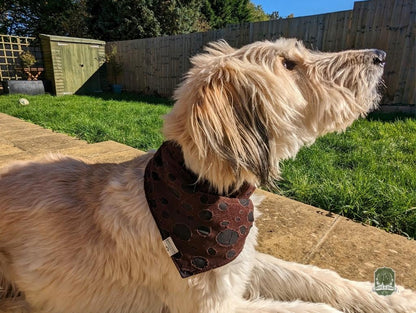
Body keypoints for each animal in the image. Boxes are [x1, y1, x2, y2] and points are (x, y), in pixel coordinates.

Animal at [0, 39, 416, 312]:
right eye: (288, 64)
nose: (380, 56)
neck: (204, 187)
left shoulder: (239, 261)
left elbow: (314, 276)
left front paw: (393, 297)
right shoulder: (215, 306)